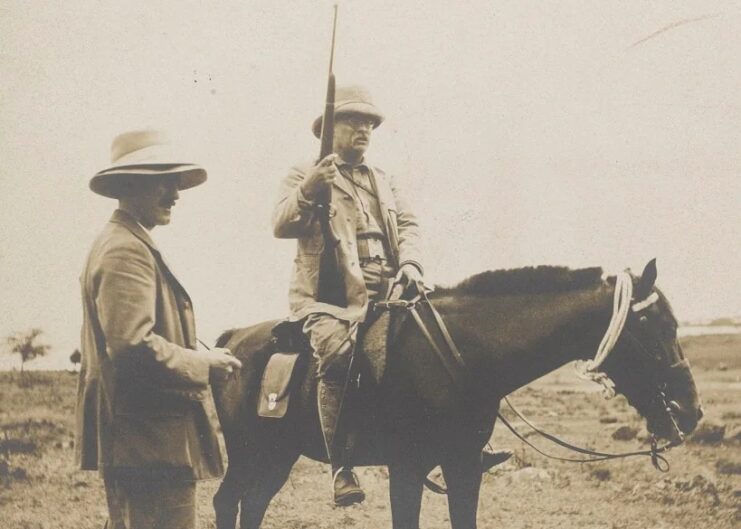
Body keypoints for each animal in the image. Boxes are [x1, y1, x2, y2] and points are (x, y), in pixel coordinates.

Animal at [208, 260, 700, 528]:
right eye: (652, 327)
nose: (690, 411)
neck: (464, 354)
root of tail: (230, 341)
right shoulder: (407, 468)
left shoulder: (463, 465)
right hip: (249, 453)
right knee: (227, 502)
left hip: (277, 456)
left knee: (252, 505)